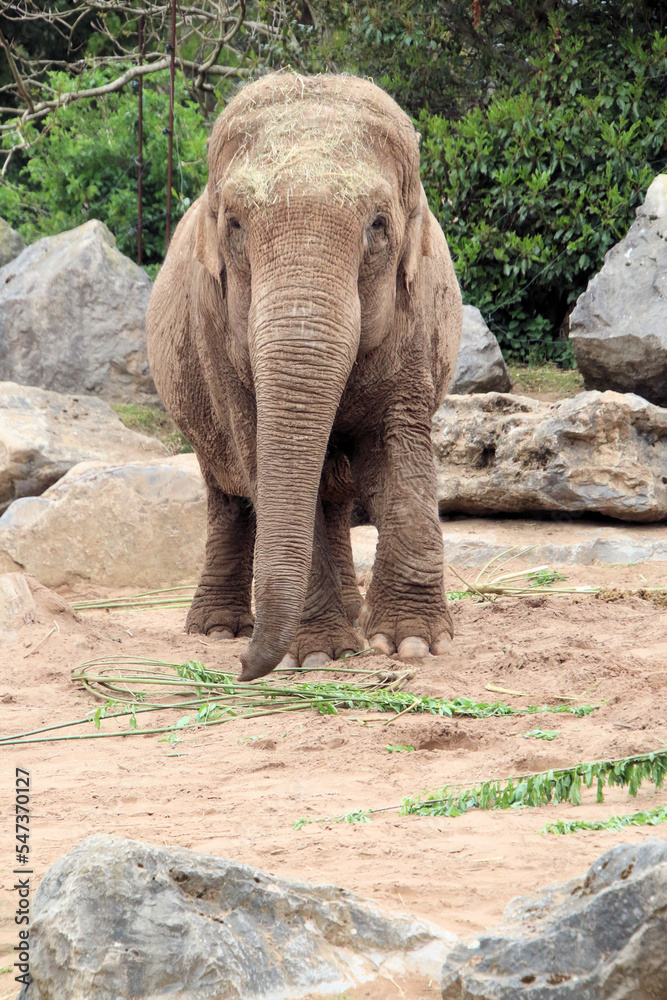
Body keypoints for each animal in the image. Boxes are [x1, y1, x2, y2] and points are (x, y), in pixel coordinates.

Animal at [146, 71, 462, 682]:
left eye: (378, 226)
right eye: (235, 225)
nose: (242, 669)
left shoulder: (416, 326)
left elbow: (397, 456)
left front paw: (410, 644)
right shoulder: (215, 332)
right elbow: (259, 457)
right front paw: (318, 653)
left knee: (334, 493)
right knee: (227, 493)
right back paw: (219, 629)